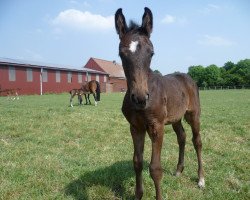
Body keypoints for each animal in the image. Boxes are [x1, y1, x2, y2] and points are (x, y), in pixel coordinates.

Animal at [115, 7, 205, 199]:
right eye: (121, 54)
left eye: (151, 53)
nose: (140, 98)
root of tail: (187, 77)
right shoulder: (136, 127)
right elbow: (137, 162)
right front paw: (138, 195)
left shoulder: (157, 126)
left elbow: (155, 168)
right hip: (176, 118)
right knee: (182, 137)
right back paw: (179, 170)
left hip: (193, 115)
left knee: (197, 141)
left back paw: (201, 179)